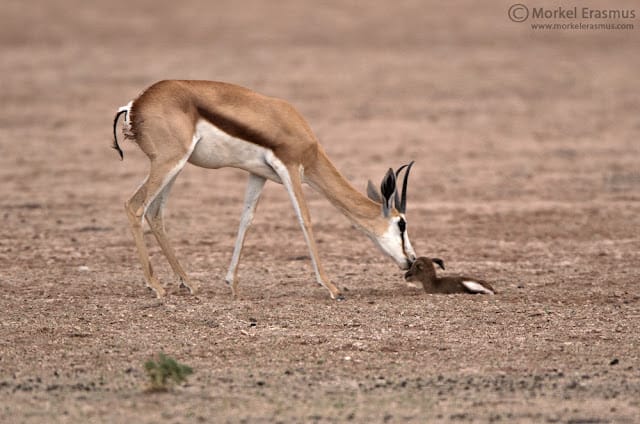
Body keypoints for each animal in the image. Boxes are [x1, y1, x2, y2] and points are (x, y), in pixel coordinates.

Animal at [112, 81, 418, 300]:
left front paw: (232, 284)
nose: (412, 260)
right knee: (134, 206)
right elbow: (305, 219)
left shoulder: (258, 175)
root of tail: (136, 103)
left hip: (175, 166)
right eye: (401, 224)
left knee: (155, 212)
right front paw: (332, 287)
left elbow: (246, 220)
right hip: (169, 162)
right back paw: (156, 286)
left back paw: (189, 284)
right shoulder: (290, 169)